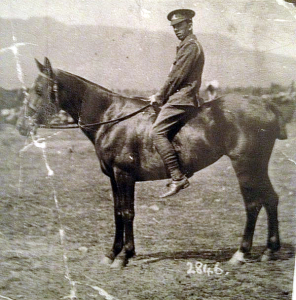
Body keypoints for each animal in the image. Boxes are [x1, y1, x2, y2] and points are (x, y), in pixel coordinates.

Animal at [17, 57, 294, 268]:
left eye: (39, 91)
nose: (21, 126)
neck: (111, 117)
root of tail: (266, 104)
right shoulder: (114, 177)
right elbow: (117, 212)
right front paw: (113, 253)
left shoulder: (124, 175)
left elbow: (127, 212)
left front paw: (124, 256)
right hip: (258, 165)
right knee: (271, 198)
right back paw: (270, 250)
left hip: (246, 165)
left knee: (253, 203)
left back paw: (241, 253)